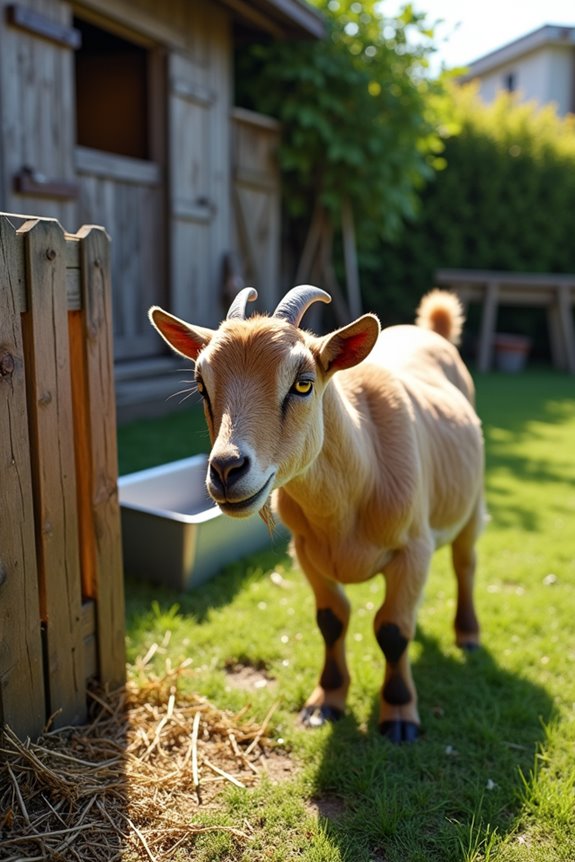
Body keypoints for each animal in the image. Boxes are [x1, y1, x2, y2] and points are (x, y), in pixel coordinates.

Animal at [149, 286, 484, 743]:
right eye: (202, 385)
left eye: (303, 384)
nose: (226, 469)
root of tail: (432, 333)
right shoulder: (306, 554)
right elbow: (331, 620)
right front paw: (325, 702)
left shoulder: (413, 549)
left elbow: (392, 630)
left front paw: (399, 716)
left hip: (472, 502)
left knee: (465, 563)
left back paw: (468, 635)